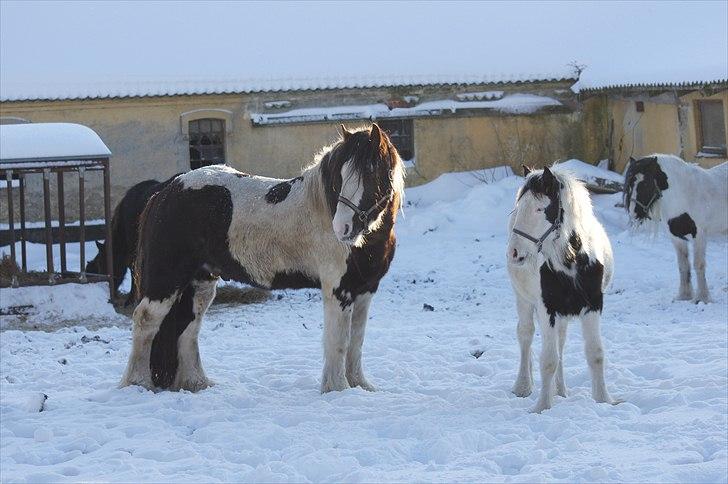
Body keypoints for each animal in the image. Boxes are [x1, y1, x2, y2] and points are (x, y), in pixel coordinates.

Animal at [119, 124, 404, 394]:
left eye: (370, 172)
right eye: (341, 177)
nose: (342, 228)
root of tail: (165, 191)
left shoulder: (364, 290)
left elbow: (356, 341)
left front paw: (360, 386)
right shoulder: (339, 290)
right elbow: (339, 342)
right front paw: (338, 389)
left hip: (200, 282)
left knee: (188, 326)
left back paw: (197, 383)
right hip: (167, 280)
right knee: (146, 321)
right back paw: (139, 383)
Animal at [506, 166, 620, 412]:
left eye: (540, 208)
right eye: (519, 208)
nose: (514, 252)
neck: (571, 261)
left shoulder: (593, 306)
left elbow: (595, 354)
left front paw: (603, 401)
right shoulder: (547, 308)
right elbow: (548, 360)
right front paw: (542, 406)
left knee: (560, 342)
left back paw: (560, 390)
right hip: (523, 299)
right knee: (526, 335)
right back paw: (523, 386)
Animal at [624, 155, 724, 304]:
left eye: (646, 184)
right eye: (630, 184)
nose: (634, 213)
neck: (686, 194)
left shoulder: (699, 235)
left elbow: (698, 264)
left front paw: (702, 298)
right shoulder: (676, 238)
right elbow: (683, 265)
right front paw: (684, 295)